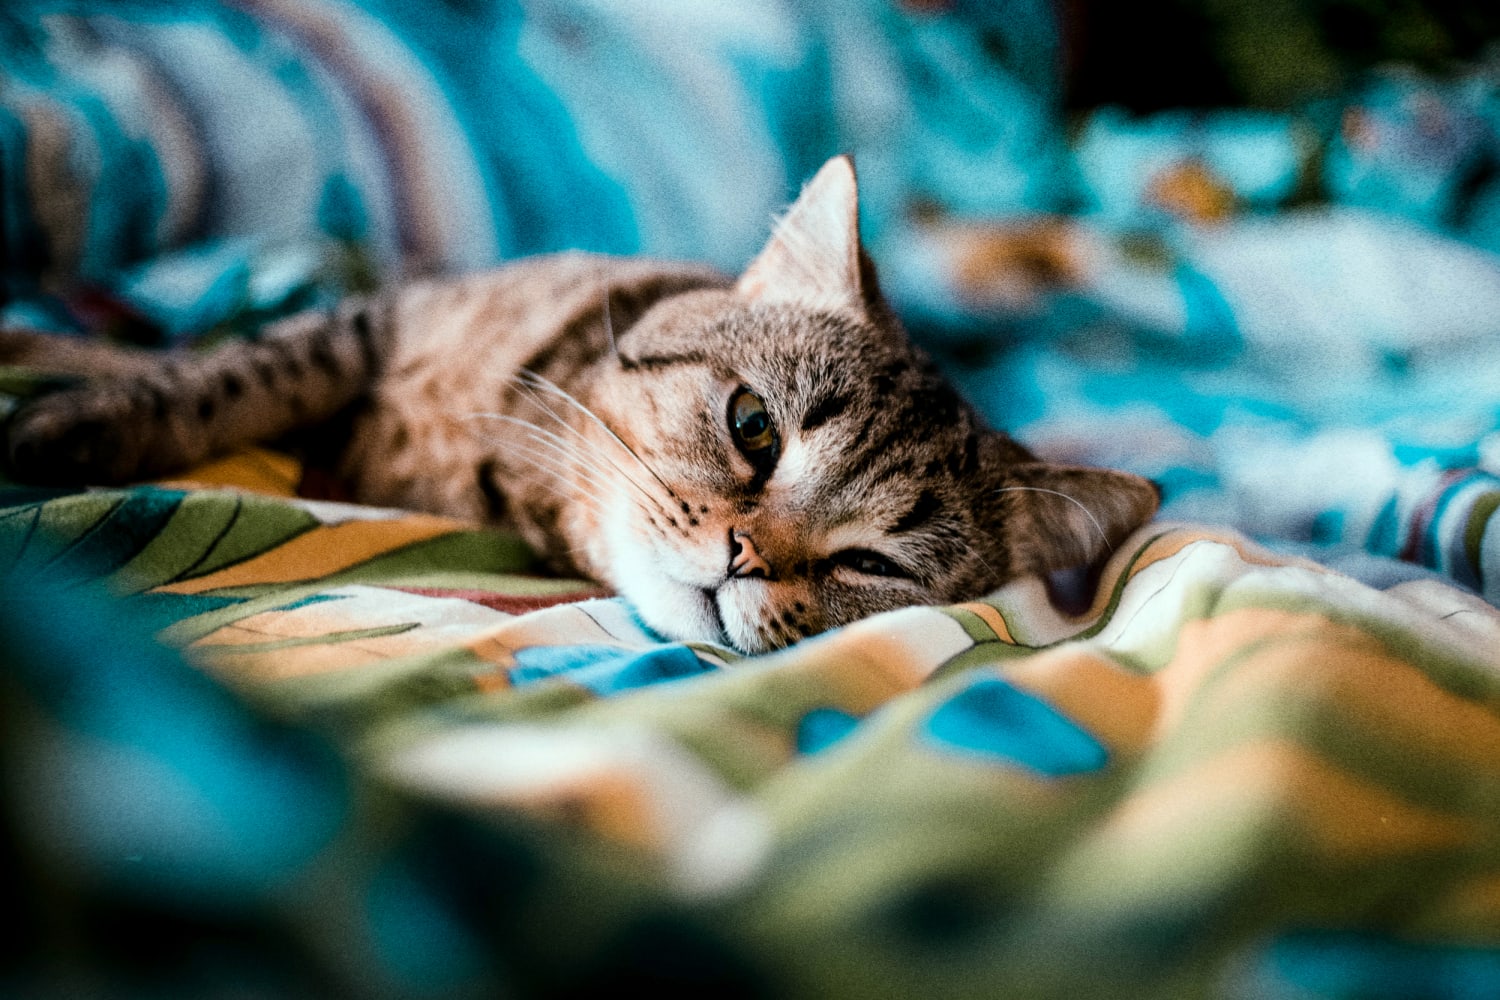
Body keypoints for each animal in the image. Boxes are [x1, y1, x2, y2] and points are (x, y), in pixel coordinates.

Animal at [0, 156, 1158, 653]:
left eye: (872, 564)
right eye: (754, 427)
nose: (744, 557)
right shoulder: (380, 318)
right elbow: (238, 372)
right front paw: (77, 419)